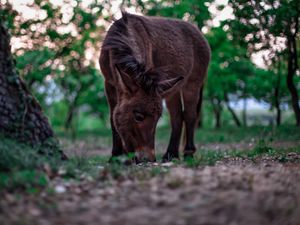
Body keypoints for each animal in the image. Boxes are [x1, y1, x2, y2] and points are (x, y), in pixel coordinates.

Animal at [99, 11, 210, 163]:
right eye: (138, 117)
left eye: (157, 118)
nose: (149, 159)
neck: (123, 37)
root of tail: (198, 31)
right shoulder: (109, 84)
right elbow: (112, 118)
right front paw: (117, 157)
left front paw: (122, 157)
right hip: (173, 90)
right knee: (177, 117)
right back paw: (171, 154)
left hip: (192, 84)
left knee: (190, 115)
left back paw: (188, 153)